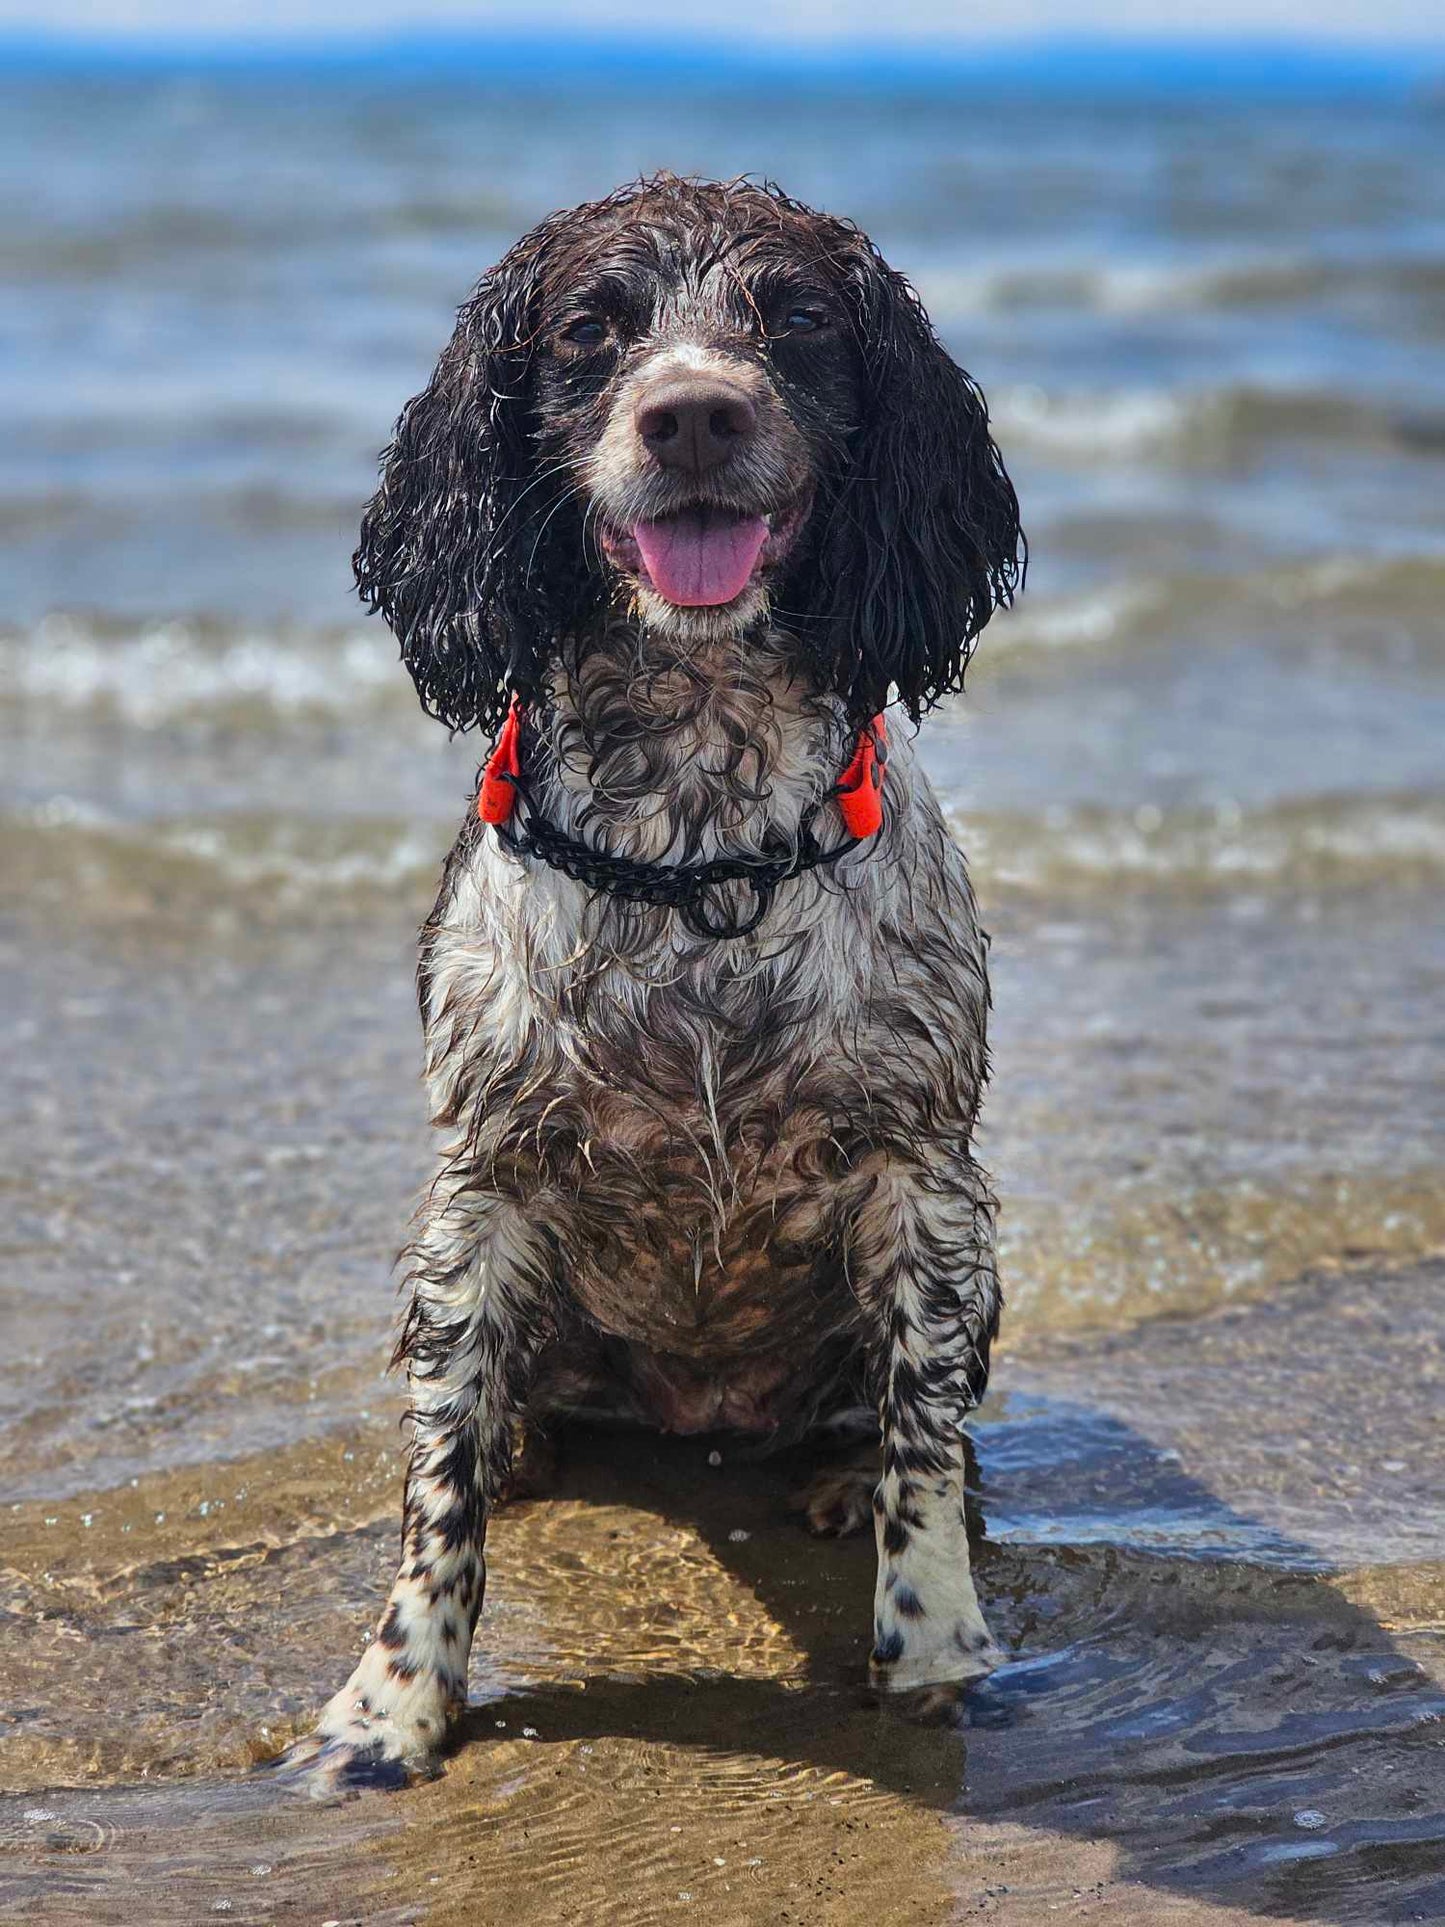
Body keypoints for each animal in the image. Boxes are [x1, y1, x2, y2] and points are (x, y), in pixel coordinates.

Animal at [283, 169, 1024, 1788]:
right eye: (588, 328)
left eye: (793, 313)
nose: (690, 414)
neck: (700, 850)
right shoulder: (481, 1185)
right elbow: (437, 1491)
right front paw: (390, 1707)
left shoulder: (924, 1181)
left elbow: (926, 1450)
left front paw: (936, 1643)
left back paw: (835, 1472)